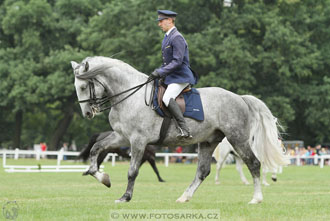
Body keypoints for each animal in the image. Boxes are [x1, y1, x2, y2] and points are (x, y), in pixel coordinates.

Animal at [70, 56, 288, 204]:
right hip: (208, 141)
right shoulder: (121, 137)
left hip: (238, 139)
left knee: (254, 164)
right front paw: (103, 178)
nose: (87, 113)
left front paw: (125, 196)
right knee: (203, 171)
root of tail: (240, 98)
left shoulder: (138, 141)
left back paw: (256, 198)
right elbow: (96, 149)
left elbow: (132, 171)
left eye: (83, 87)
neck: (129, 96)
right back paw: (184, 196)